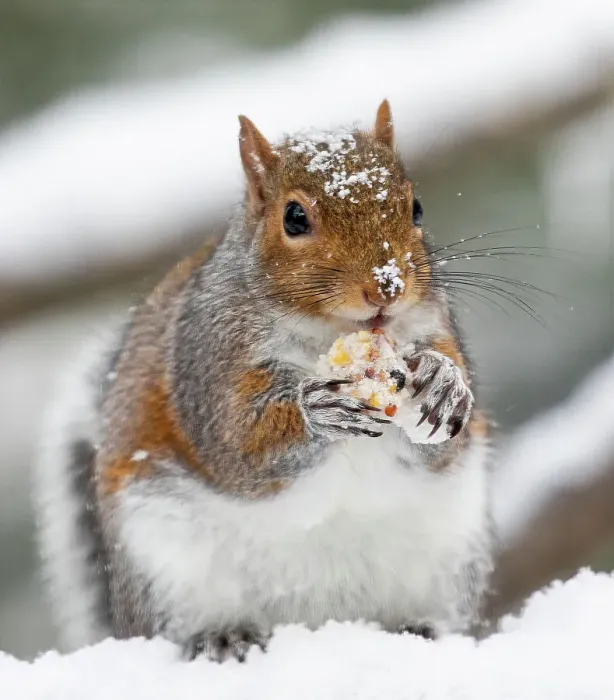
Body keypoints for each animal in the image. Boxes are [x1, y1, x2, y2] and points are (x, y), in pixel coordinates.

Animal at [35, 100, 493, 663]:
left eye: (416, 208)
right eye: (294, 217)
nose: (386, 287)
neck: (329, 334)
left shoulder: (435, 329)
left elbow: (444, 441)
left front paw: (442, 383)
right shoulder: (206, 361)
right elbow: (238, 443)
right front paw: (316, 412)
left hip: (450, 551)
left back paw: (419, 630)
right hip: (166, 562)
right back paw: (221, 637)